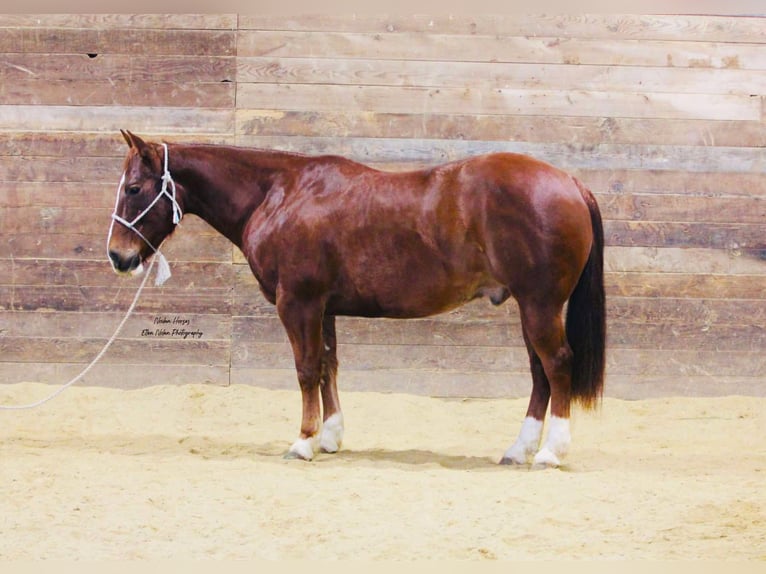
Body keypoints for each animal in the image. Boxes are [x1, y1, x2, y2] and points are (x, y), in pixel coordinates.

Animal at [108, 132, 608, 472]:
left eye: (133, 188)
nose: (117, 256)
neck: (280, 194)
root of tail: (570, 182)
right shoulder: (324, 307)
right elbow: (328, 365)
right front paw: (330, 437)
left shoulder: (298, 303)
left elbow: (306, 368)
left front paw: (304, 441)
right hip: (530, 307)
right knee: (539, 372)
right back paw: (518, 449)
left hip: (540, 305)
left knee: (556, 364)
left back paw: (550, 452)